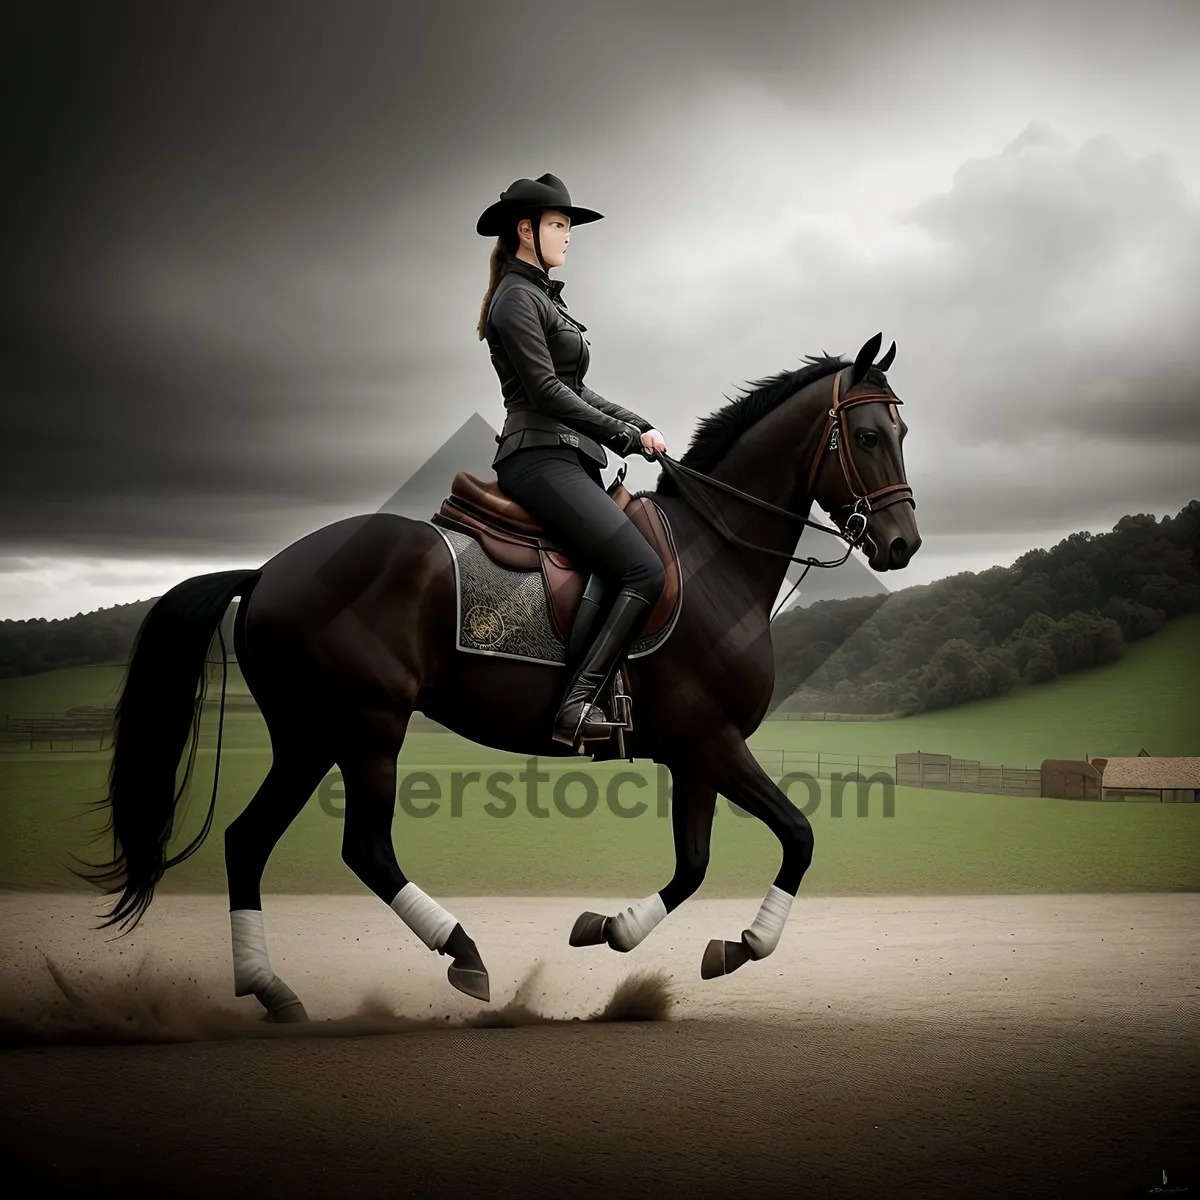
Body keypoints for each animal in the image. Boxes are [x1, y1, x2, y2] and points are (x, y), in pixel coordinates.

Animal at [77, 331, 916, 1022]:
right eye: (868, 435)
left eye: (902, 433)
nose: (903, 544)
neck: (717, 557)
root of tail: (269, 570)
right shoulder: (712, 741)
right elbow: (798, 836)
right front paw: (743, 944)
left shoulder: (695, 752)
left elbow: (694, 864)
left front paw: (615, 929)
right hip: (365, 724)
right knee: (365, 849)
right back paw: (463, 954)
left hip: (309, 735)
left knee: (247, 841)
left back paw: (271, 989)